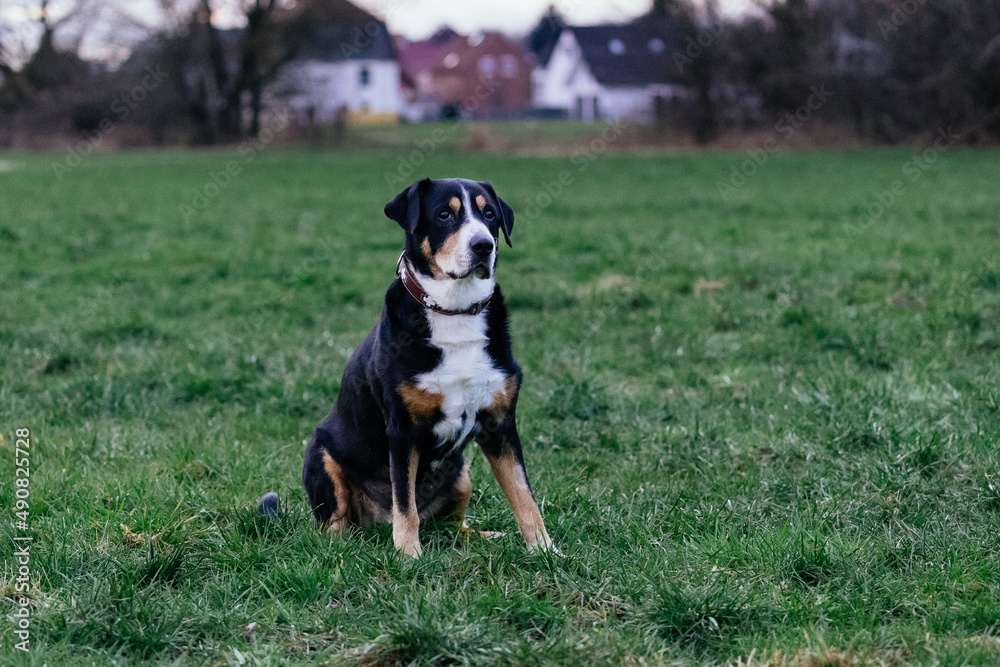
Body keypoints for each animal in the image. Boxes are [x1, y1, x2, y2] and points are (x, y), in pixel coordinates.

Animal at [286, 177, 556, 560]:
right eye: (444, 214)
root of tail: (373, 523)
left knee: (456, 529)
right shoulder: (402, 429)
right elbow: (404, 502)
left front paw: (545, 549)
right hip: (322, 455)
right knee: (337, 526)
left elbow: (523, 494)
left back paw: (488, 535)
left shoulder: (500, 422)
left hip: (461, 474)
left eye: (489, 214)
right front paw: (408, 555)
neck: (454, 311)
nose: (483, 245)